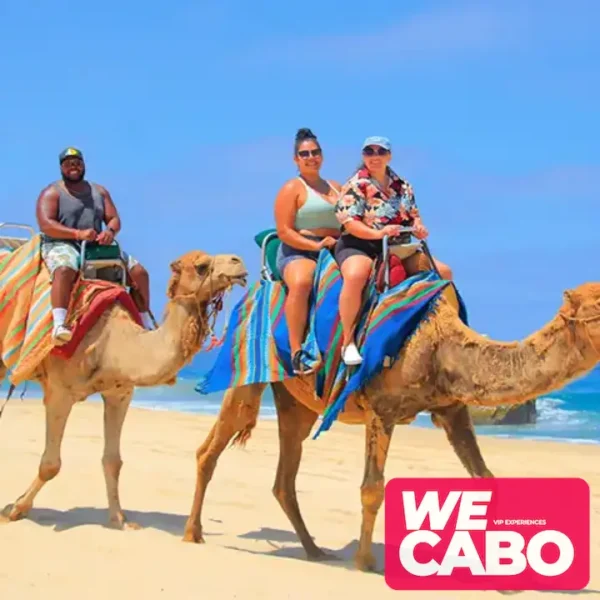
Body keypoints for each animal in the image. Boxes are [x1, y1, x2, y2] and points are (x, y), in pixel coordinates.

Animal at [0, 248, 248, 528]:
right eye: (202, 266)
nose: (238, 262)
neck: (112, 341)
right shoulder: (59, 392)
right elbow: (51, 464)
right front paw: (15, 509)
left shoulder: (120, 394)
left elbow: (113, 461)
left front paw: (120, 518)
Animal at [180, 282, 600, 572]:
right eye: (597, 305)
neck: (442, 345)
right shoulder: (381, 410)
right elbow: (372, 489)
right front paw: (366, 563)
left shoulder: (452, 410)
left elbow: (485, 479)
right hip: (247, 369)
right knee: (211, 447)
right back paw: (192, 533)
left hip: (297, 402)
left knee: (286, 472)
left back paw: (315, 550)